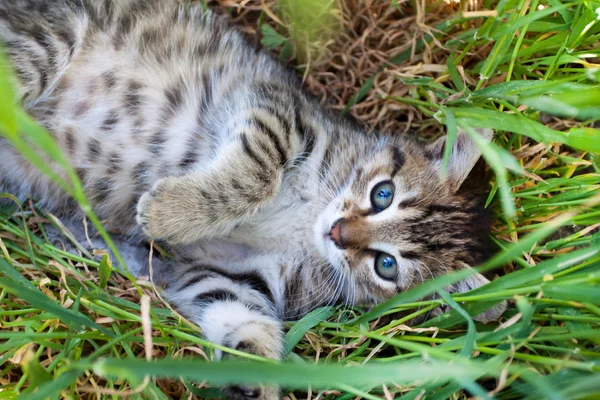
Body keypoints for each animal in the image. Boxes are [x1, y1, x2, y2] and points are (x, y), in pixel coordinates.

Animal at [1, 1, 506, 398]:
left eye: (386, 266)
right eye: (382, 193)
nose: (339, 232)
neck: (308, 222)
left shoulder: (224, 271)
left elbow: (238, 311)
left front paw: (254, 374)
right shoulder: (276, 109)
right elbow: (258, 173)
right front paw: (169, 213)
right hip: (49, 42)